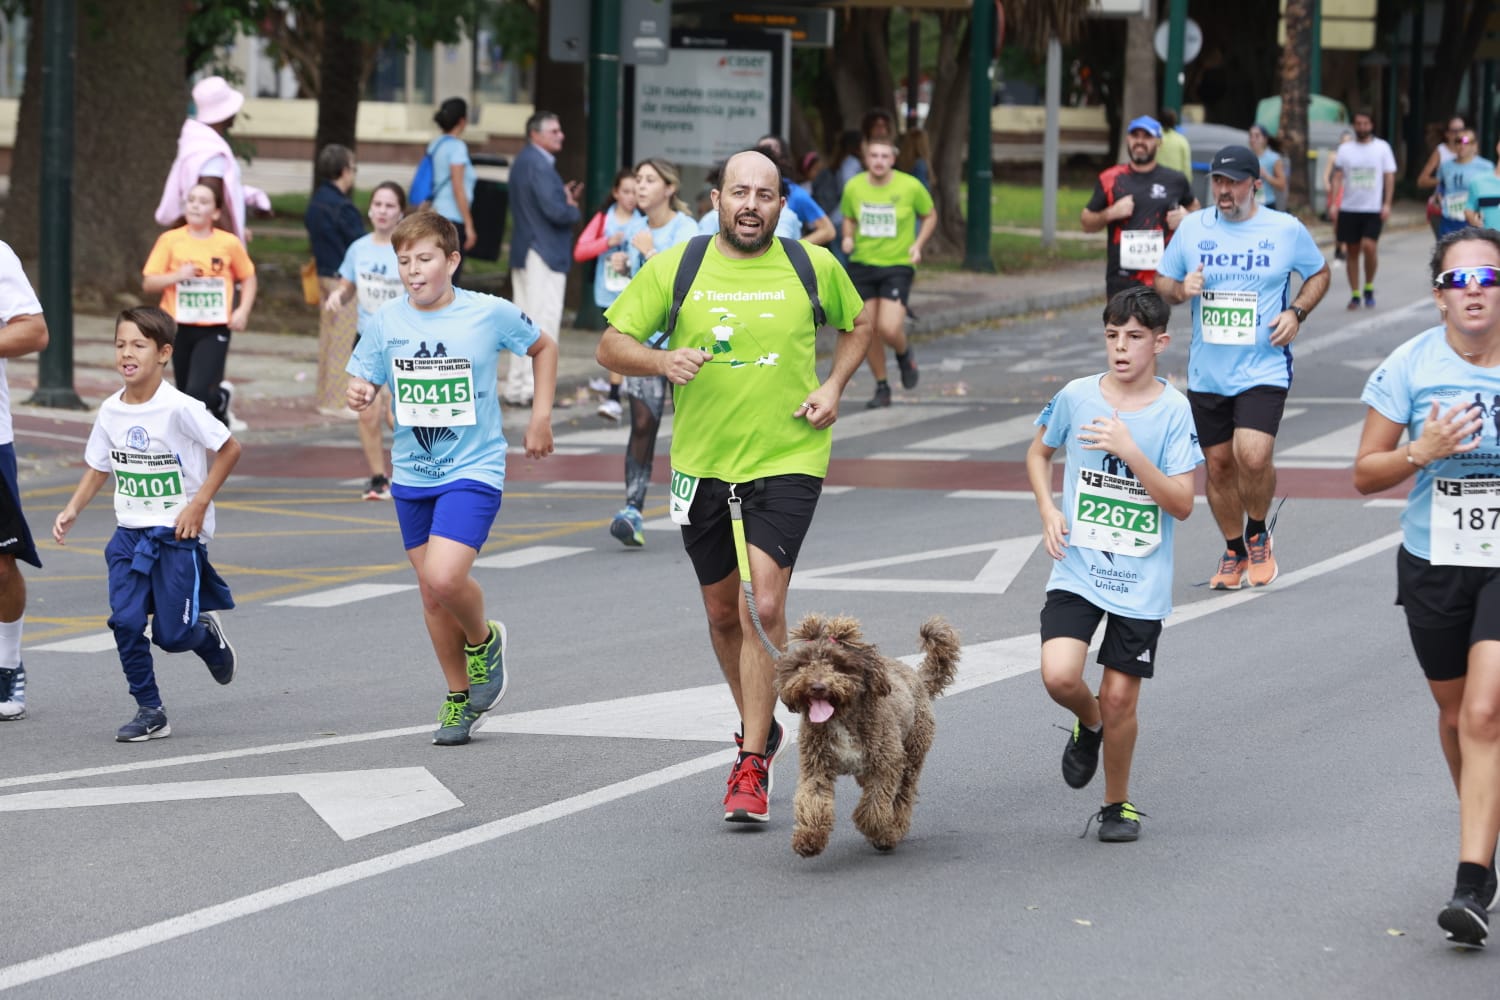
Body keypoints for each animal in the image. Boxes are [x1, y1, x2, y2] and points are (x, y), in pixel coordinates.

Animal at [774, 614, 960, 857]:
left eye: (838, 664)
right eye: (803, 664)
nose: (817, 686)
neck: (842, 717)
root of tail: (917, 677)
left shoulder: (886, 764)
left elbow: (874, 806)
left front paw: (880, 833)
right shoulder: (816, 766)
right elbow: (813, 800)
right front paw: (809, 838)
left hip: (912, 753)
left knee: (903, 796)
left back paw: (895, 828)